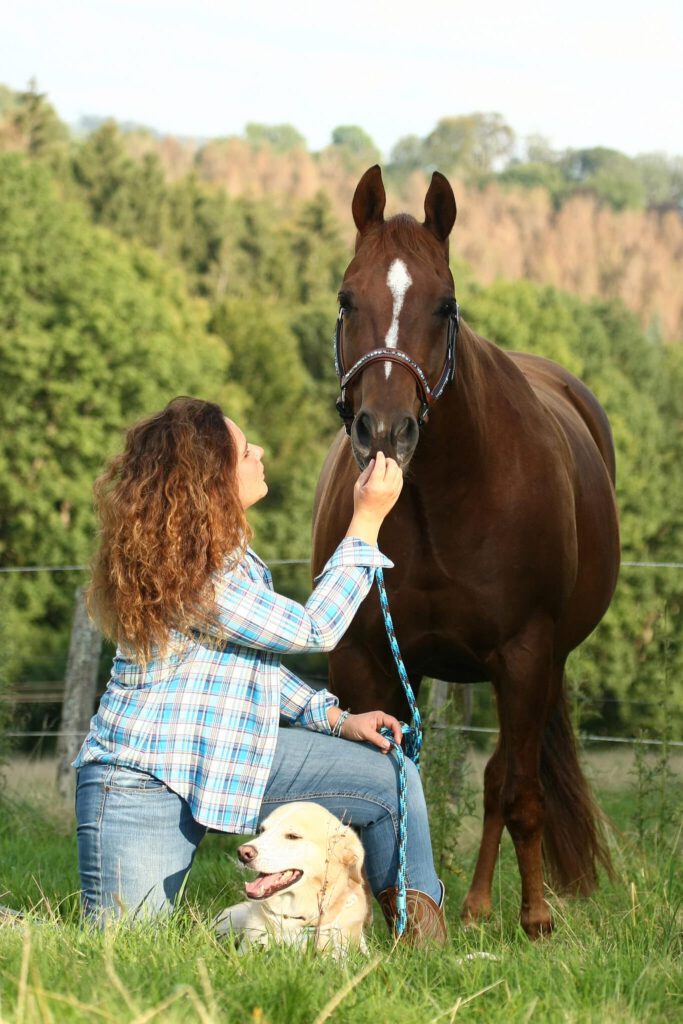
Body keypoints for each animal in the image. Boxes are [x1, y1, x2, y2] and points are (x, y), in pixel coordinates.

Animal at [312, 166, 619, 938]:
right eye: (346, 298)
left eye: (444, 305)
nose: (384, 431)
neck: (438, 503)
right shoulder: (364, 655)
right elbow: (384, 783)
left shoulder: (525, 654)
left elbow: (520, 794)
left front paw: (535, 920)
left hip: (537, 669)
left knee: (505, 780)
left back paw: (495, 908)